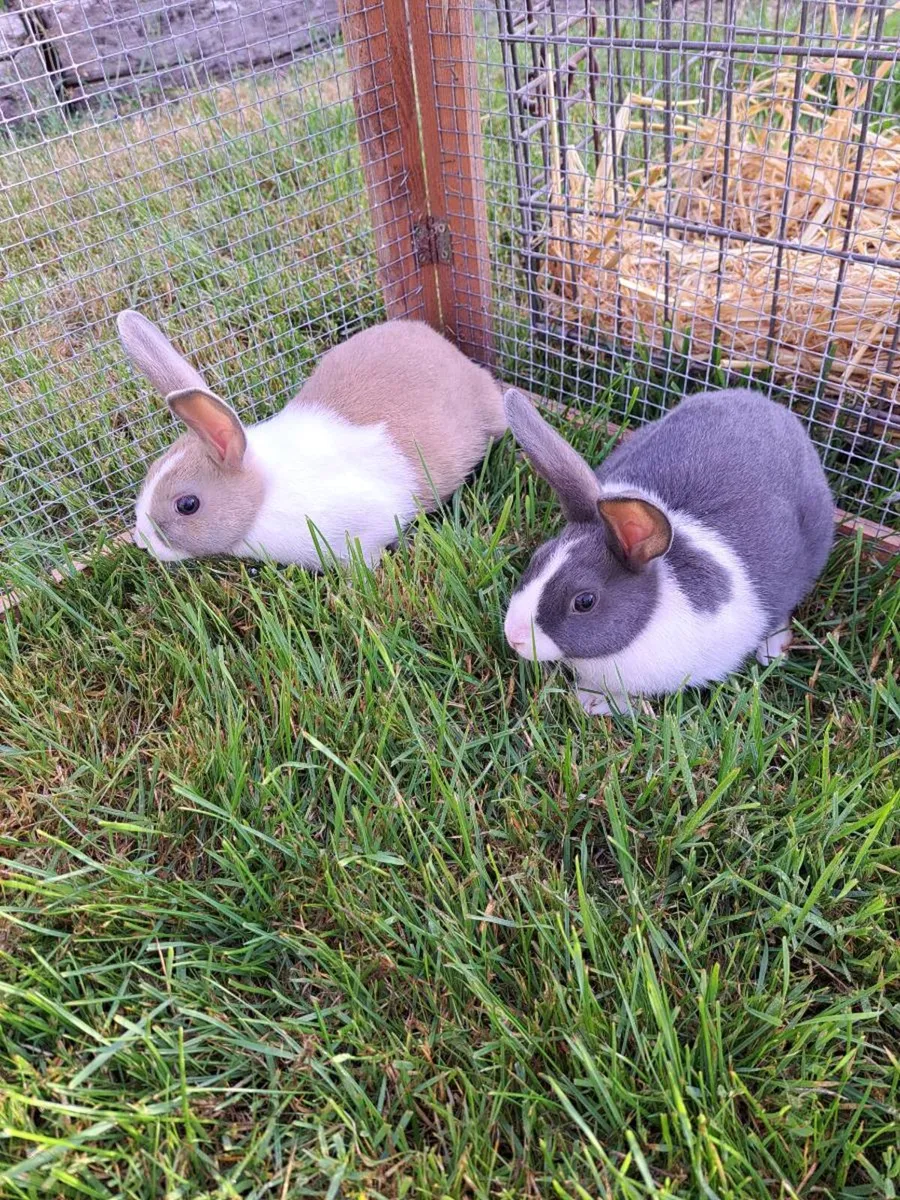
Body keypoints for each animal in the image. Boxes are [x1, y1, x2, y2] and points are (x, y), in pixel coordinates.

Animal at [502, 387, 835, 716]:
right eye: (538, 558)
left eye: (585, 601)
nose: (514, 638)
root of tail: (766, 403)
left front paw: (599, 703)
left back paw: (772, 650)